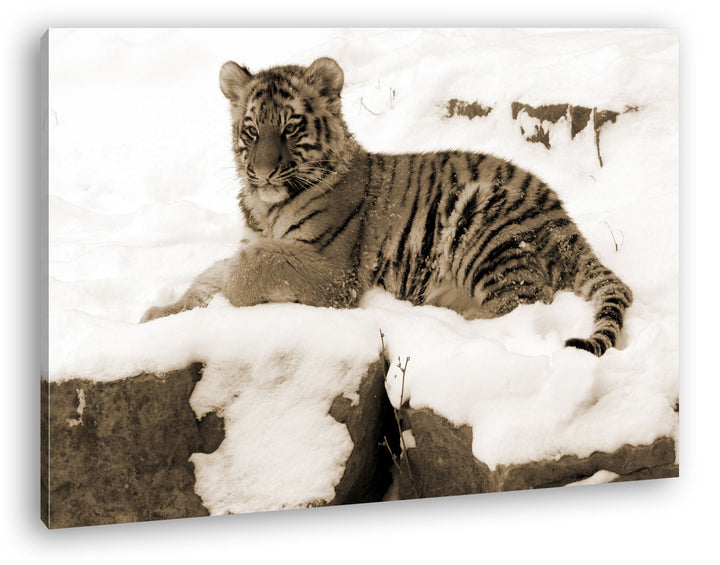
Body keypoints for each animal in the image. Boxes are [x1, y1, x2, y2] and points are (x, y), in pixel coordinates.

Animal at [141, 57, 633, 357]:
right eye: (251, 131)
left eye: (290, 128)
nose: (261, 173)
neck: (265, 209)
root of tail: (564, 218)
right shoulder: (257, 240)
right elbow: (209, 275)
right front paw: (159, 314)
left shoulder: (330, 270)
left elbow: (248, 269)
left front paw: (229, 298)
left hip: (482, 225)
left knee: (522, 307)